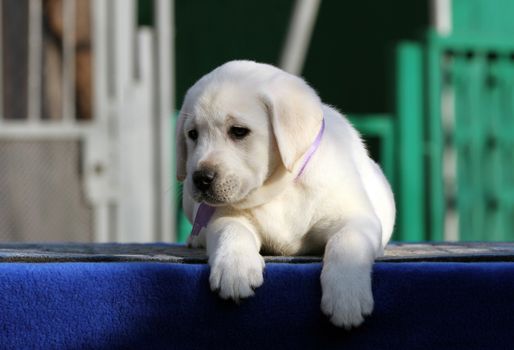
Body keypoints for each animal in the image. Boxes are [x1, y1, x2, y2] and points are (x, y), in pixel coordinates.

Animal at [174, 60, 394, 328]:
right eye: (192, 134)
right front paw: (234, 268)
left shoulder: (356, 218)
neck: (280, 190)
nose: (201, 178)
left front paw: (346, 296)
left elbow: (346, 243)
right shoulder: (224, 215)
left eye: (238, 131)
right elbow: (231, 230)